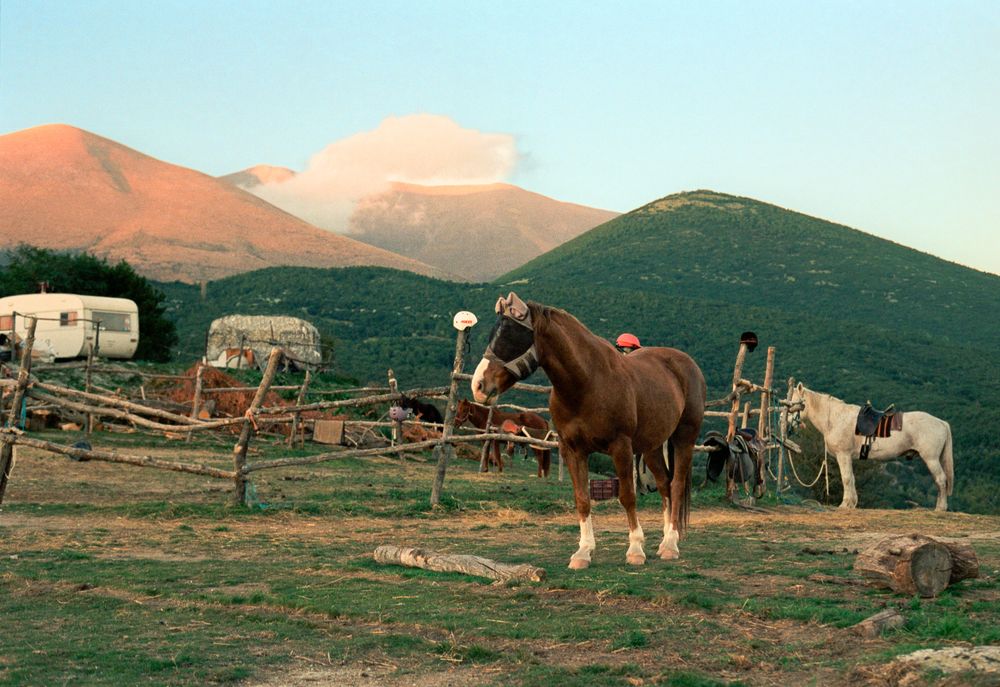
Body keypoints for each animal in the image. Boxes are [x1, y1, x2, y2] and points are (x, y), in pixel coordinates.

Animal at [471, 292, 706, 569]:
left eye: (511, 336)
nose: (478, 386)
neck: (588, 383)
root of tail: (685, 363)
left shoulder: (621, 447)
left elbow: (627, 496)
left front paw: (635, 549)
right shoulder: (572, 450)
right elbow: (582, 499)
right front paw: (583, 552)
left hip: (684, 439)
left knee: (677, 484)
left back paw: (670, 544)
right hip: (652, 447)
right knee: (664, 485)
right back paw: (664, 541)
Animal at [788, 382, 954, 511]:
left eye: (794, 403)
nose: (786, 423)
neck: (835, 418)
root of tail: (941, 422)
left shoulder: (843, 455)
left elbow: (846, 478)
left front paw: (845, 504)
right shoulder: (848, 457)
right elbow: (851, 478)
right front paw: (852, 503)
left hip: (931, 459)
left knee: (941, 480)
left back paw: (940, 508)